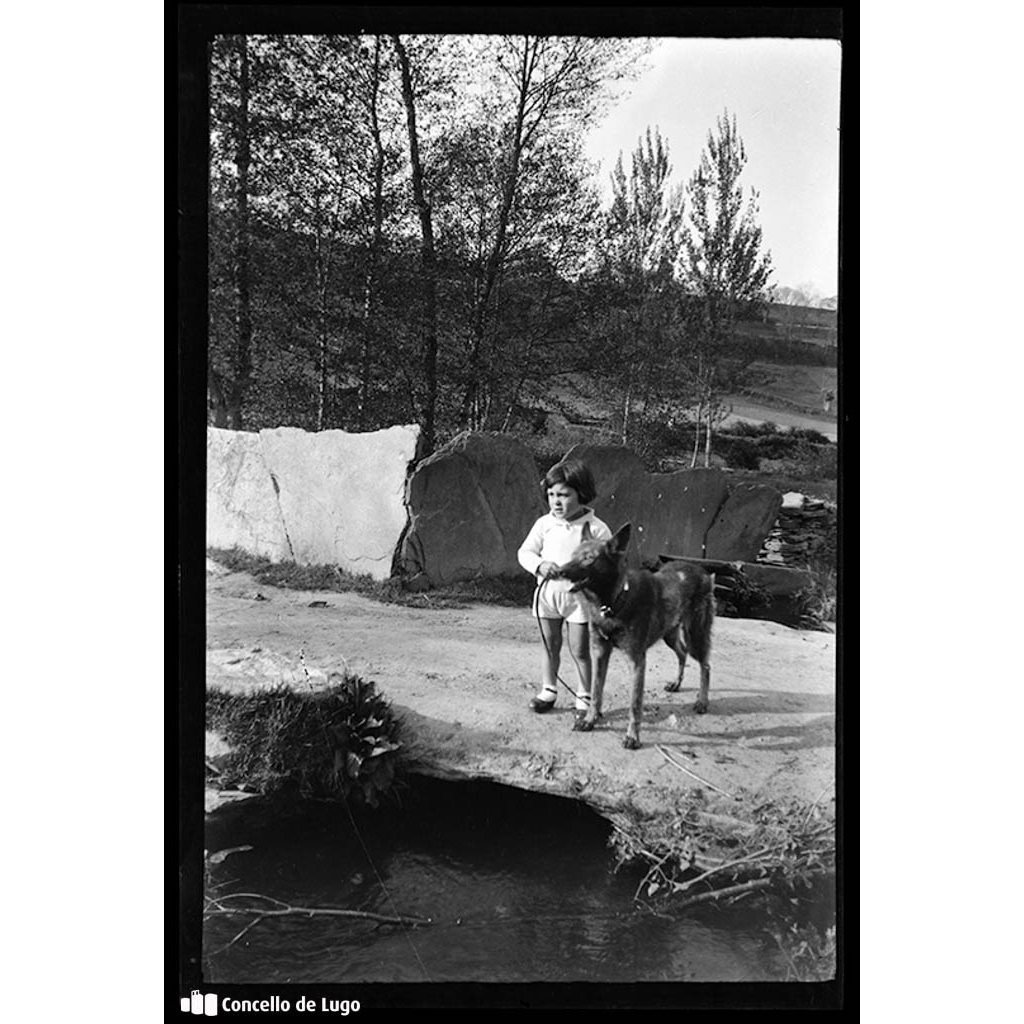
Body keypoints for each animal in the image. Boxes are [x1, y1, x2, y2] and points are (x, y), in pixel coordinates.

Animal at [557, 524, 716, 749]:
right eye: (573, 555)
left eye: (589, 558)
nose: (559, 571)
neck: (613, 603)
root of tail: (704, 573)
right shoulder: (600, 653)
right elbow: (596, 692)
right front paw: (589, 720)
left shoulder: (636, 661)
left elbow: (635, 704)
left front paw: (633, 737)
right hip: (669, 635)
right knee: (682, 653)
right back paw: (676, 684)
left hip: (695, 635)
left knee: (705, 666)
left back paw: (702, 701)